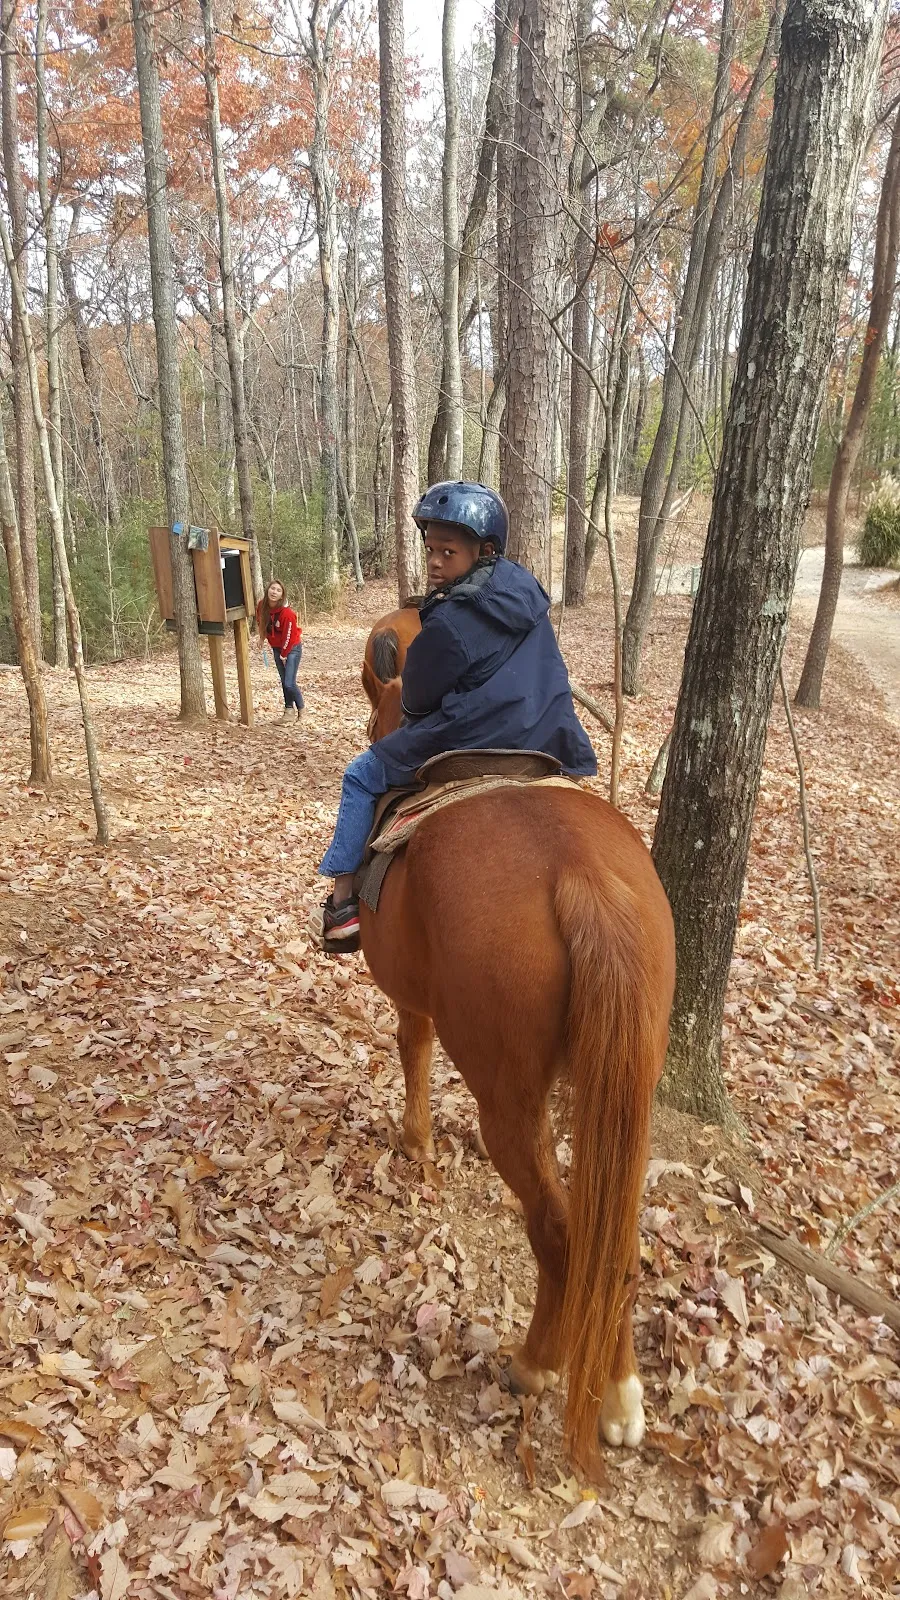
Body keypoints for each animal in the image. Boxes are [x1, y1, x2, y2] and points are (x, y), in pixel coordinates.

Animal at [359, 674, 676, 1471]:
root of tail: (581, 876)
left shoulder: (412, 995)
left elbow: (413, 1045)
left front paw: (416, 1140)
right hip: (626, 1090)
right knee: (612, 1235)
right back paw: (621, 1400)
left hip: (508, 1100)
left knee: (560, 1235)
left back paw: (535, 1365)